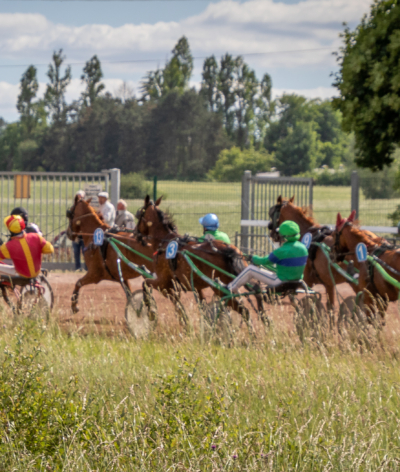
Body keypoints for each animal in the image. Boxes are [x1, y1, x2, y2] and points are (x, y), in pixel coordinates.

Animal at [134, 195, 260, 324]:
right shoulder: (193, 288)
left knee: (244, 311)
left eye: (139, 214)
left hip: (220, 288)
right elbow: (195, 307)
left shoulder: (163, 283)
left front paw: (149, 313)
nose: (135, 233)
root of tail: (228, 251)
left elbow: (146, 284)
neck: (165, 241)